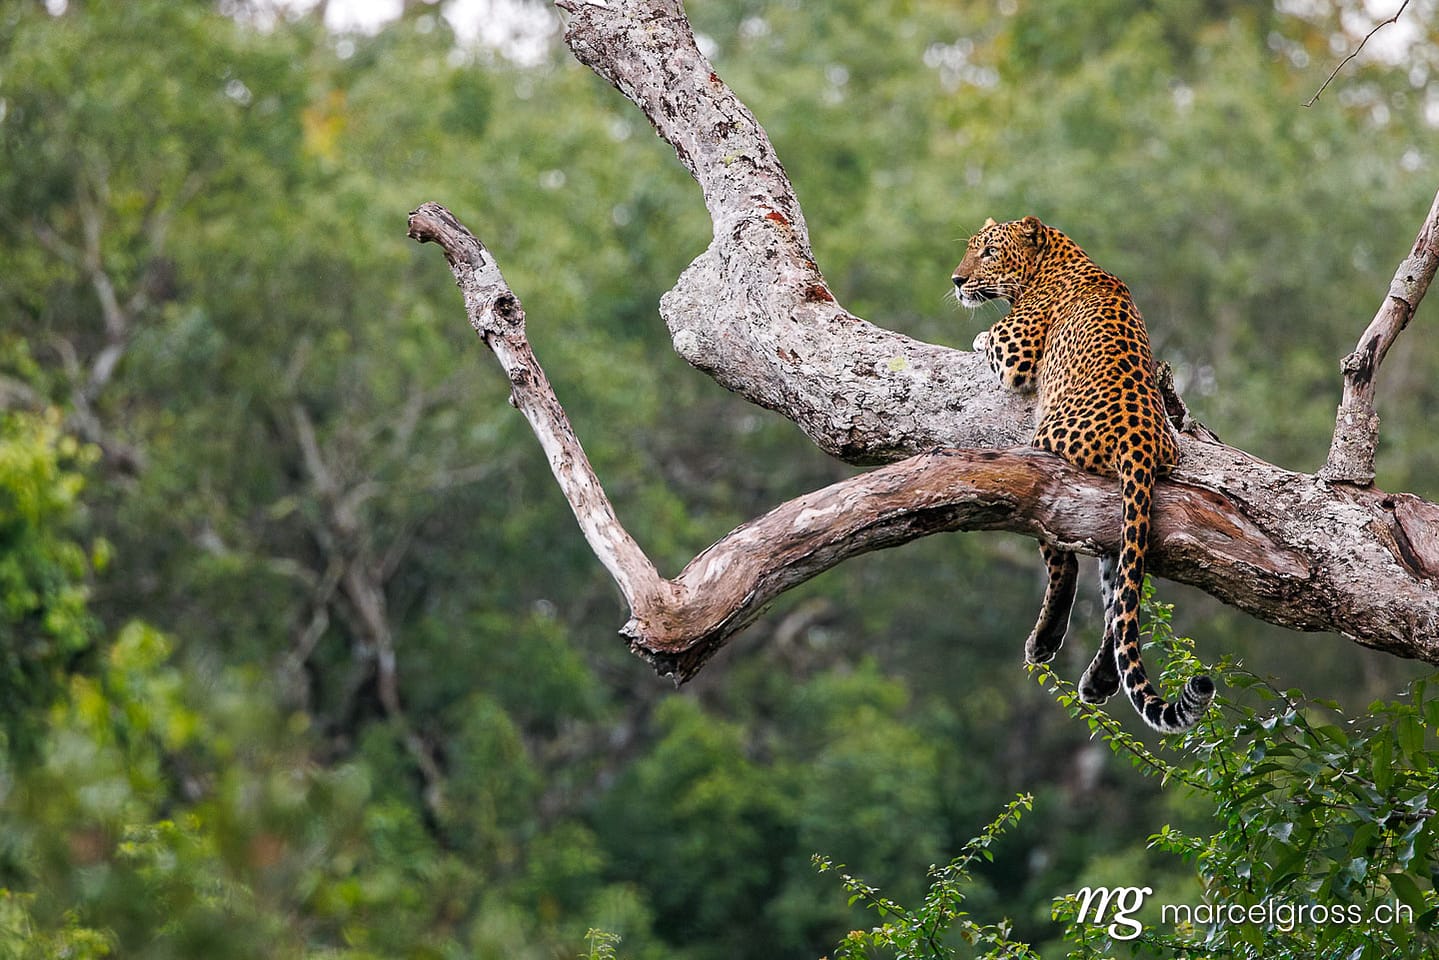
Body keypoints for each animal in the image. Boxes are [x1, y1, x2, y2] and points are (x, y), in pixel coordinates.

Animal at [951, 215, 1215, 733]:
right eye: (972, 248)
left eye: (989, 251)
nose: (956, 280)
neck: (1056, 255)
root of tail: (1141, 440)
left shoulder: (1016, 349)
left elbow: (988, 336)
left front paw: (976, 335)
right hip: (1122, 508)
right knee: (1121, 594)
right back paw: (1100, 679)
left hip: (1047, 458)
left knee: (1064, 562)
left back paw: (1045, 640)